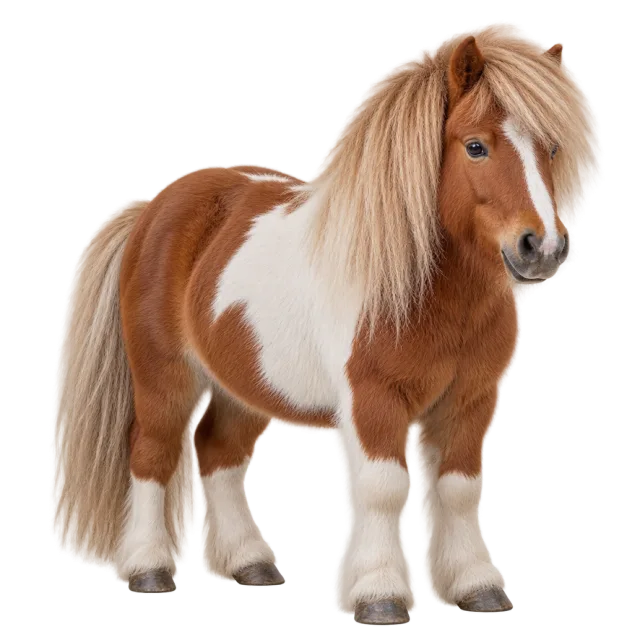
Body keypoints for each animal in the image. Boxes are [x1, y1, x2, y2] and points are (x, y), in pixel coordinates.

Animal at [50, 21, 602, 623]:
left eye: (551, 147)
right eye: (476, 146)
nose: (542, 247)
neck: (422, 288)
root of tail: (153, 207)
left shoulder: (471, 401)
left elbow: (460, 490)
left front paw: (478, 588)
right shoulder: (373, 399)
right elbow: (383, 487)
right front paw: (380, 596)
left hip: (245, 386)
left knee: (218, 455)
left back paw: (251, 565)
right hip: (164, 377)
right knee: (154, 453)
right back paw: (149, 569)